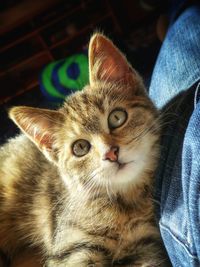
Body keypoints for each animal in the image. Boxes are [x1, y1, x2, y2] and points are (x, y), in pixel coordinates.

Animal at [0, 34, 170, 266]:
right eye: (80, 147)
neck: (122, 203)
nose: (111, 153)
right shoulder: (72, 248)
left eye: (117, 117)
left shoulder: (145, 245)